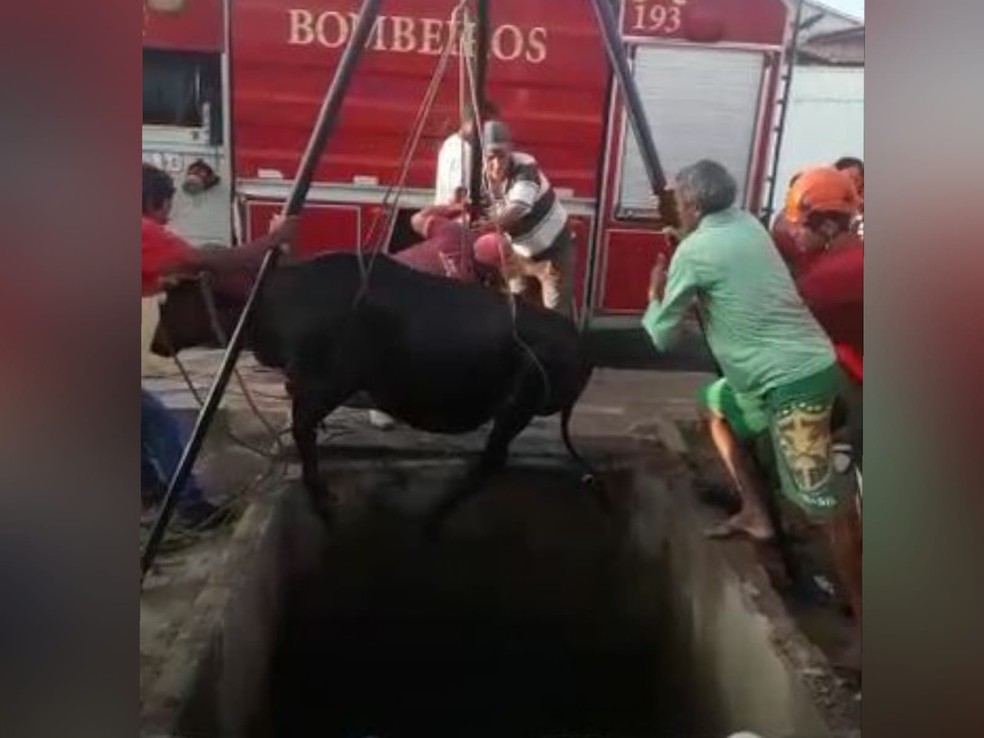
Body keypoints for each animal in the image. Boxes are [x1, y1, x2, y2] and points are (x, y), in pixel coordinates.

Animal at [153, 253, 600, 528]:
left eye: (169, 303)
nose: (155, 343)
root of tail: (581, 348)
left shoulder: (328, 382)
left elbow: (302, 430)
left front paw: (322, 497)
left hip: (517, 404)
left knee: (491, 462)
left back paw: (433, 517)